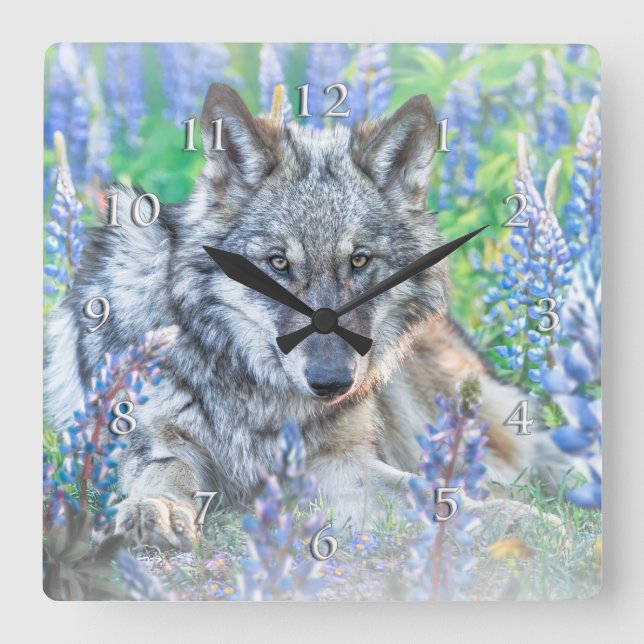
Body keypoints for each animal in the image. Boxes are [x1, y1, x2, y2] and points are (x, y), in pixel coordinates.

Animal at [45, 83, 565, 550]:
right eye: (278, 263)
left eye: (359, 261)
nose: (333, 381)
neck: (257, 396)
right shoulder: (154, 438)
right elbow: (165, 469)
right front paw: (156, 509)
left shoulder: (336, 467)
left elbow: (432, 496)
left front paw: (516, 520)